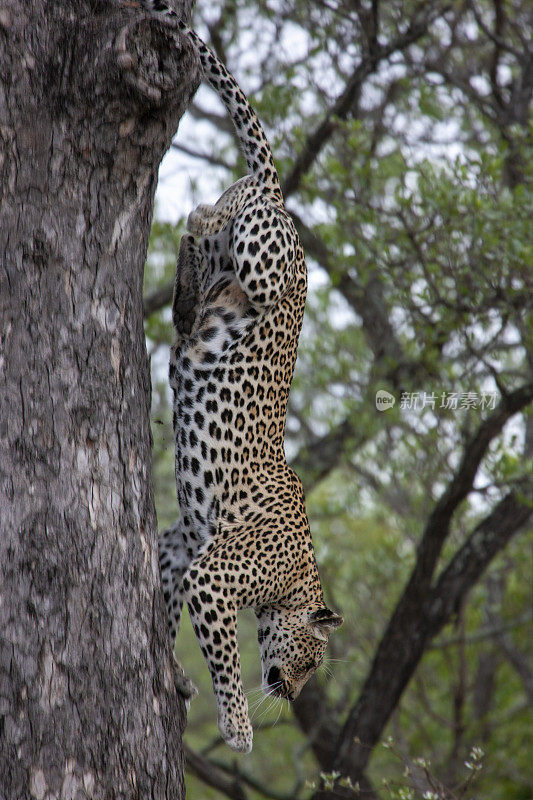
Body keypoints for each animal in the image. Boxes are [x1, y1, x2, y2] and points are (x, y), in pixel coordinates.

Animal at [139, 0, 342, 752]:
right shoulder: (214, 578)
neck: (297, 578)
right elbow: (224, 654)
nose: (294, 691)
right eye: (309, 661)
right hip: (265, 263)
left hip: (239, 266)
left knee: (203, 243)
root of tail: (281, 190)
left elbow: (166, 611)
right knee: (207, 214)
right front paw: (237, 724)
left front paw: (175, 676)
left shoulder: (180, 551)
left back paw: (187, 300)